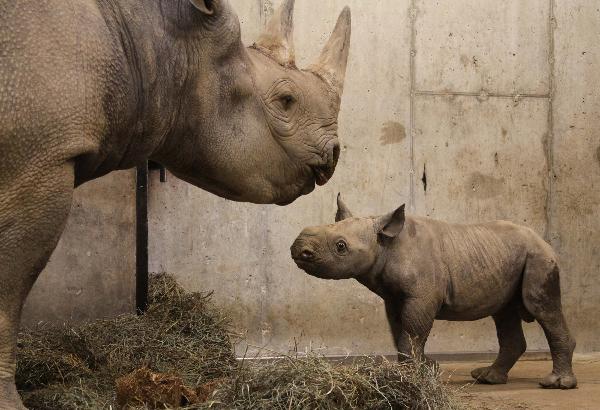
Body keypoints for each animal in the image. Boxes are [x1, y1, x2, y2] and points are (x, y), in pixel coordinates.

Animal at [290, 194, 576, 390]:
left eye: (341, 247)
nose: (298, 249)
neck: (386, 244)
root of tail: (543, 239)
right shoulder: (394, 297)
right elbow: (400, 331)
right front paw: (425, 370)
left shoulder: (421, 296)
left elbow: (413, 331)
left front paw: (411, 377)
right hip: (508, 257)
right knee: (503, 313)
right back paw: (488, 378)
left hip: (539, 258)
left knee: (541, 306)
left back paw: (556, 384)